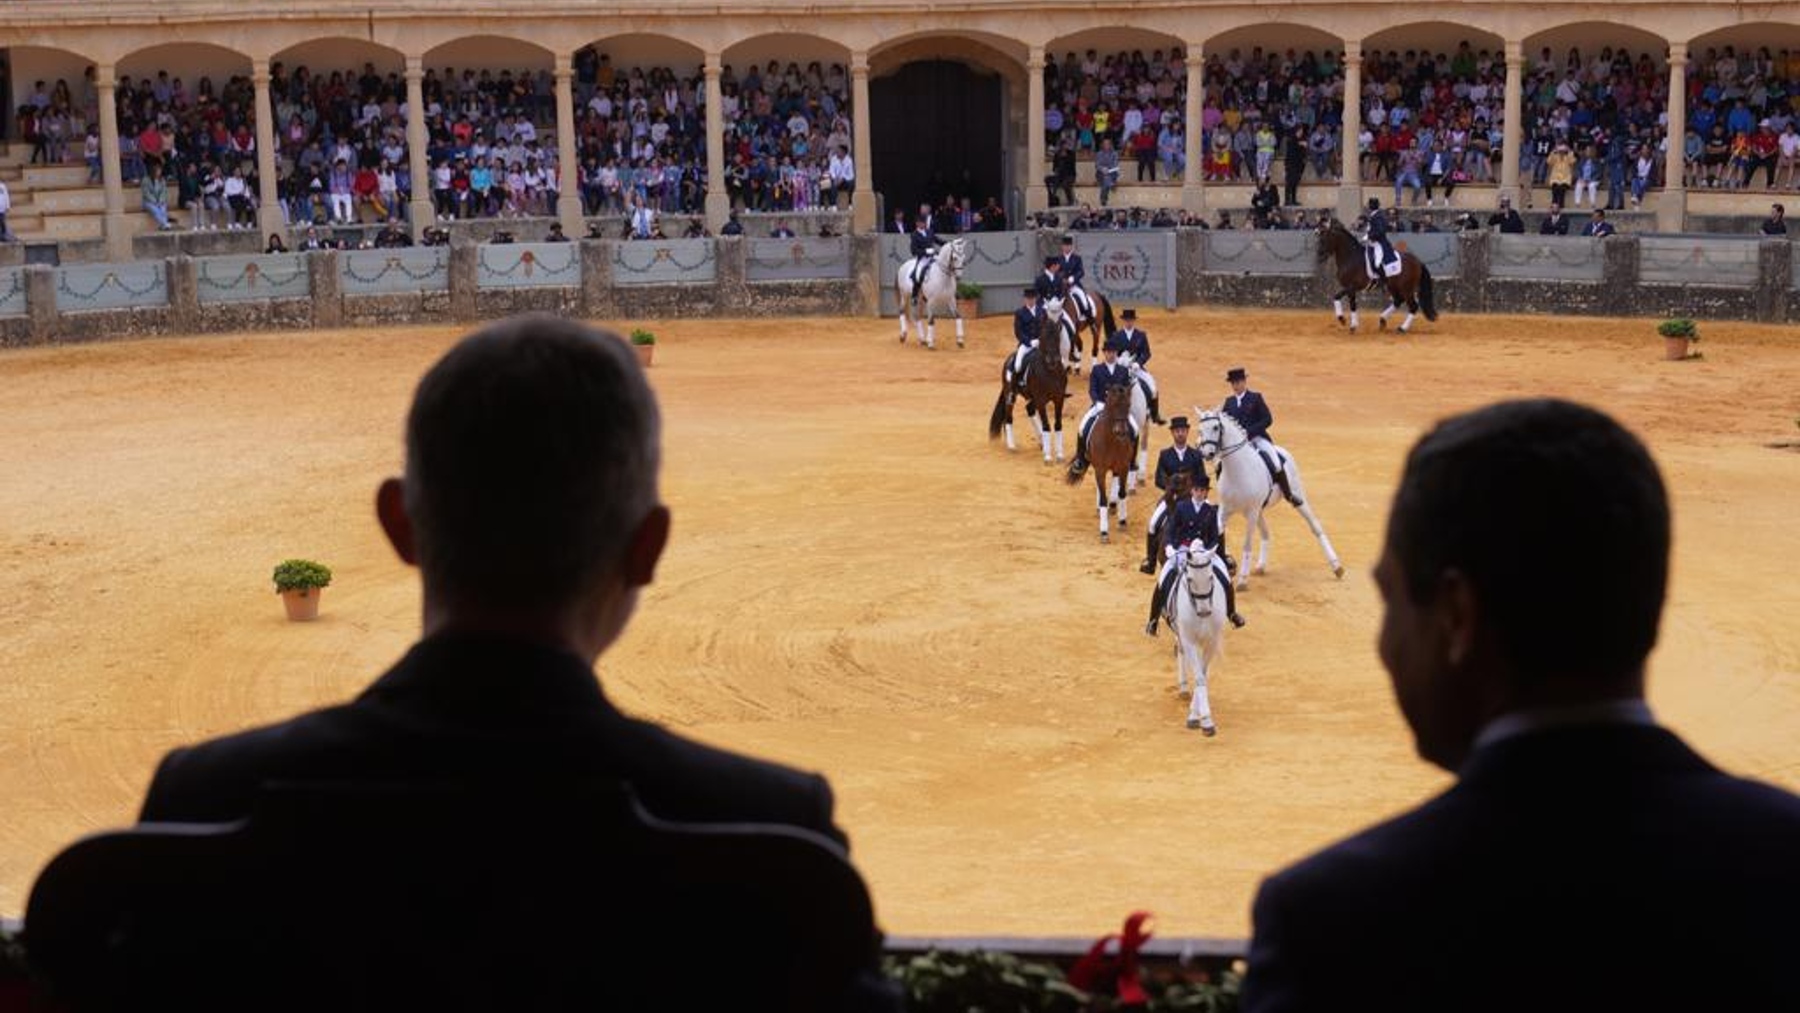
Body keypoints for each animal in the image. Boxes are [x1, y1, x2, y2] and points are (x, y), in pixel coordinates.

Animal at [986, 298, 1065, 460]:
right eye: (1043, 336)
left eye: (1057, 337)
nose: (1053, 360)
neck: (1050, 372)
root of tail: (1009, 359)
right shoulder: (1041, 400)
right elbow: (1047, 425)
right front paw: (1048, 457)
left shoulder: (1059, 398)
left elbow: (1058, 425)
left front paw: (1059, 455)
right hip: (1011, 395)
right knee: (1009, 417)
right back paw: (1012, 446)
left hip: (1032, 398)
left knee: (1029, 409)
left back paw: (1041, 442)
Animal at [1058, 385, 1130, 543]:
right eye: (1113, 405)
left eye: (1128, 405)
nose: (1121, 432)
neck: (1112, 440)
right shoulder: (1100, 469)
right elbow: (1103, 498)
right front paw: (1104, 532)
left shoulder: (1123, 468)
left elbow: (1122, 493)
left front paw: (1122, 521)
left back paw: (1113, 507)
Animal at [1166, 543, 1224, 734]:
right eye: (1190, 579)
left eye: (1211, 577)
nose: (1205, 611)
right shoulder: (1189, 640)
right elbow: (1198, 676)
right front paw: (1204, 720)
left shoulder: (1212, 641)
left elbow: (1203, 674)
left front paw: (1196, 715)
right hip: (1181, 633)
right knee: (1180, 651)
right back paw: (1183, 687)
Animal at [1188, 408, 1346, 590]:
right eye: (1200, 429)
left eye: (1215, 427)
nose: (1207, 453)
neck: (1237, 470)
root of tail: (1282, 451)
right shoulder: (1225, 510)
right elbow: (1218, 534)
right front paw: (1225, 564)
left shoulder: (1251, 512)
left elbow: (1247, 544)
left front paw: (1242, 580)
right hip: (1258, 511)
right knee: (1265, 532)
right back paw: (1261, 566)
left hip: (1295, 499)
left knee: (1315, 526)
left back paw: (1337, 567)